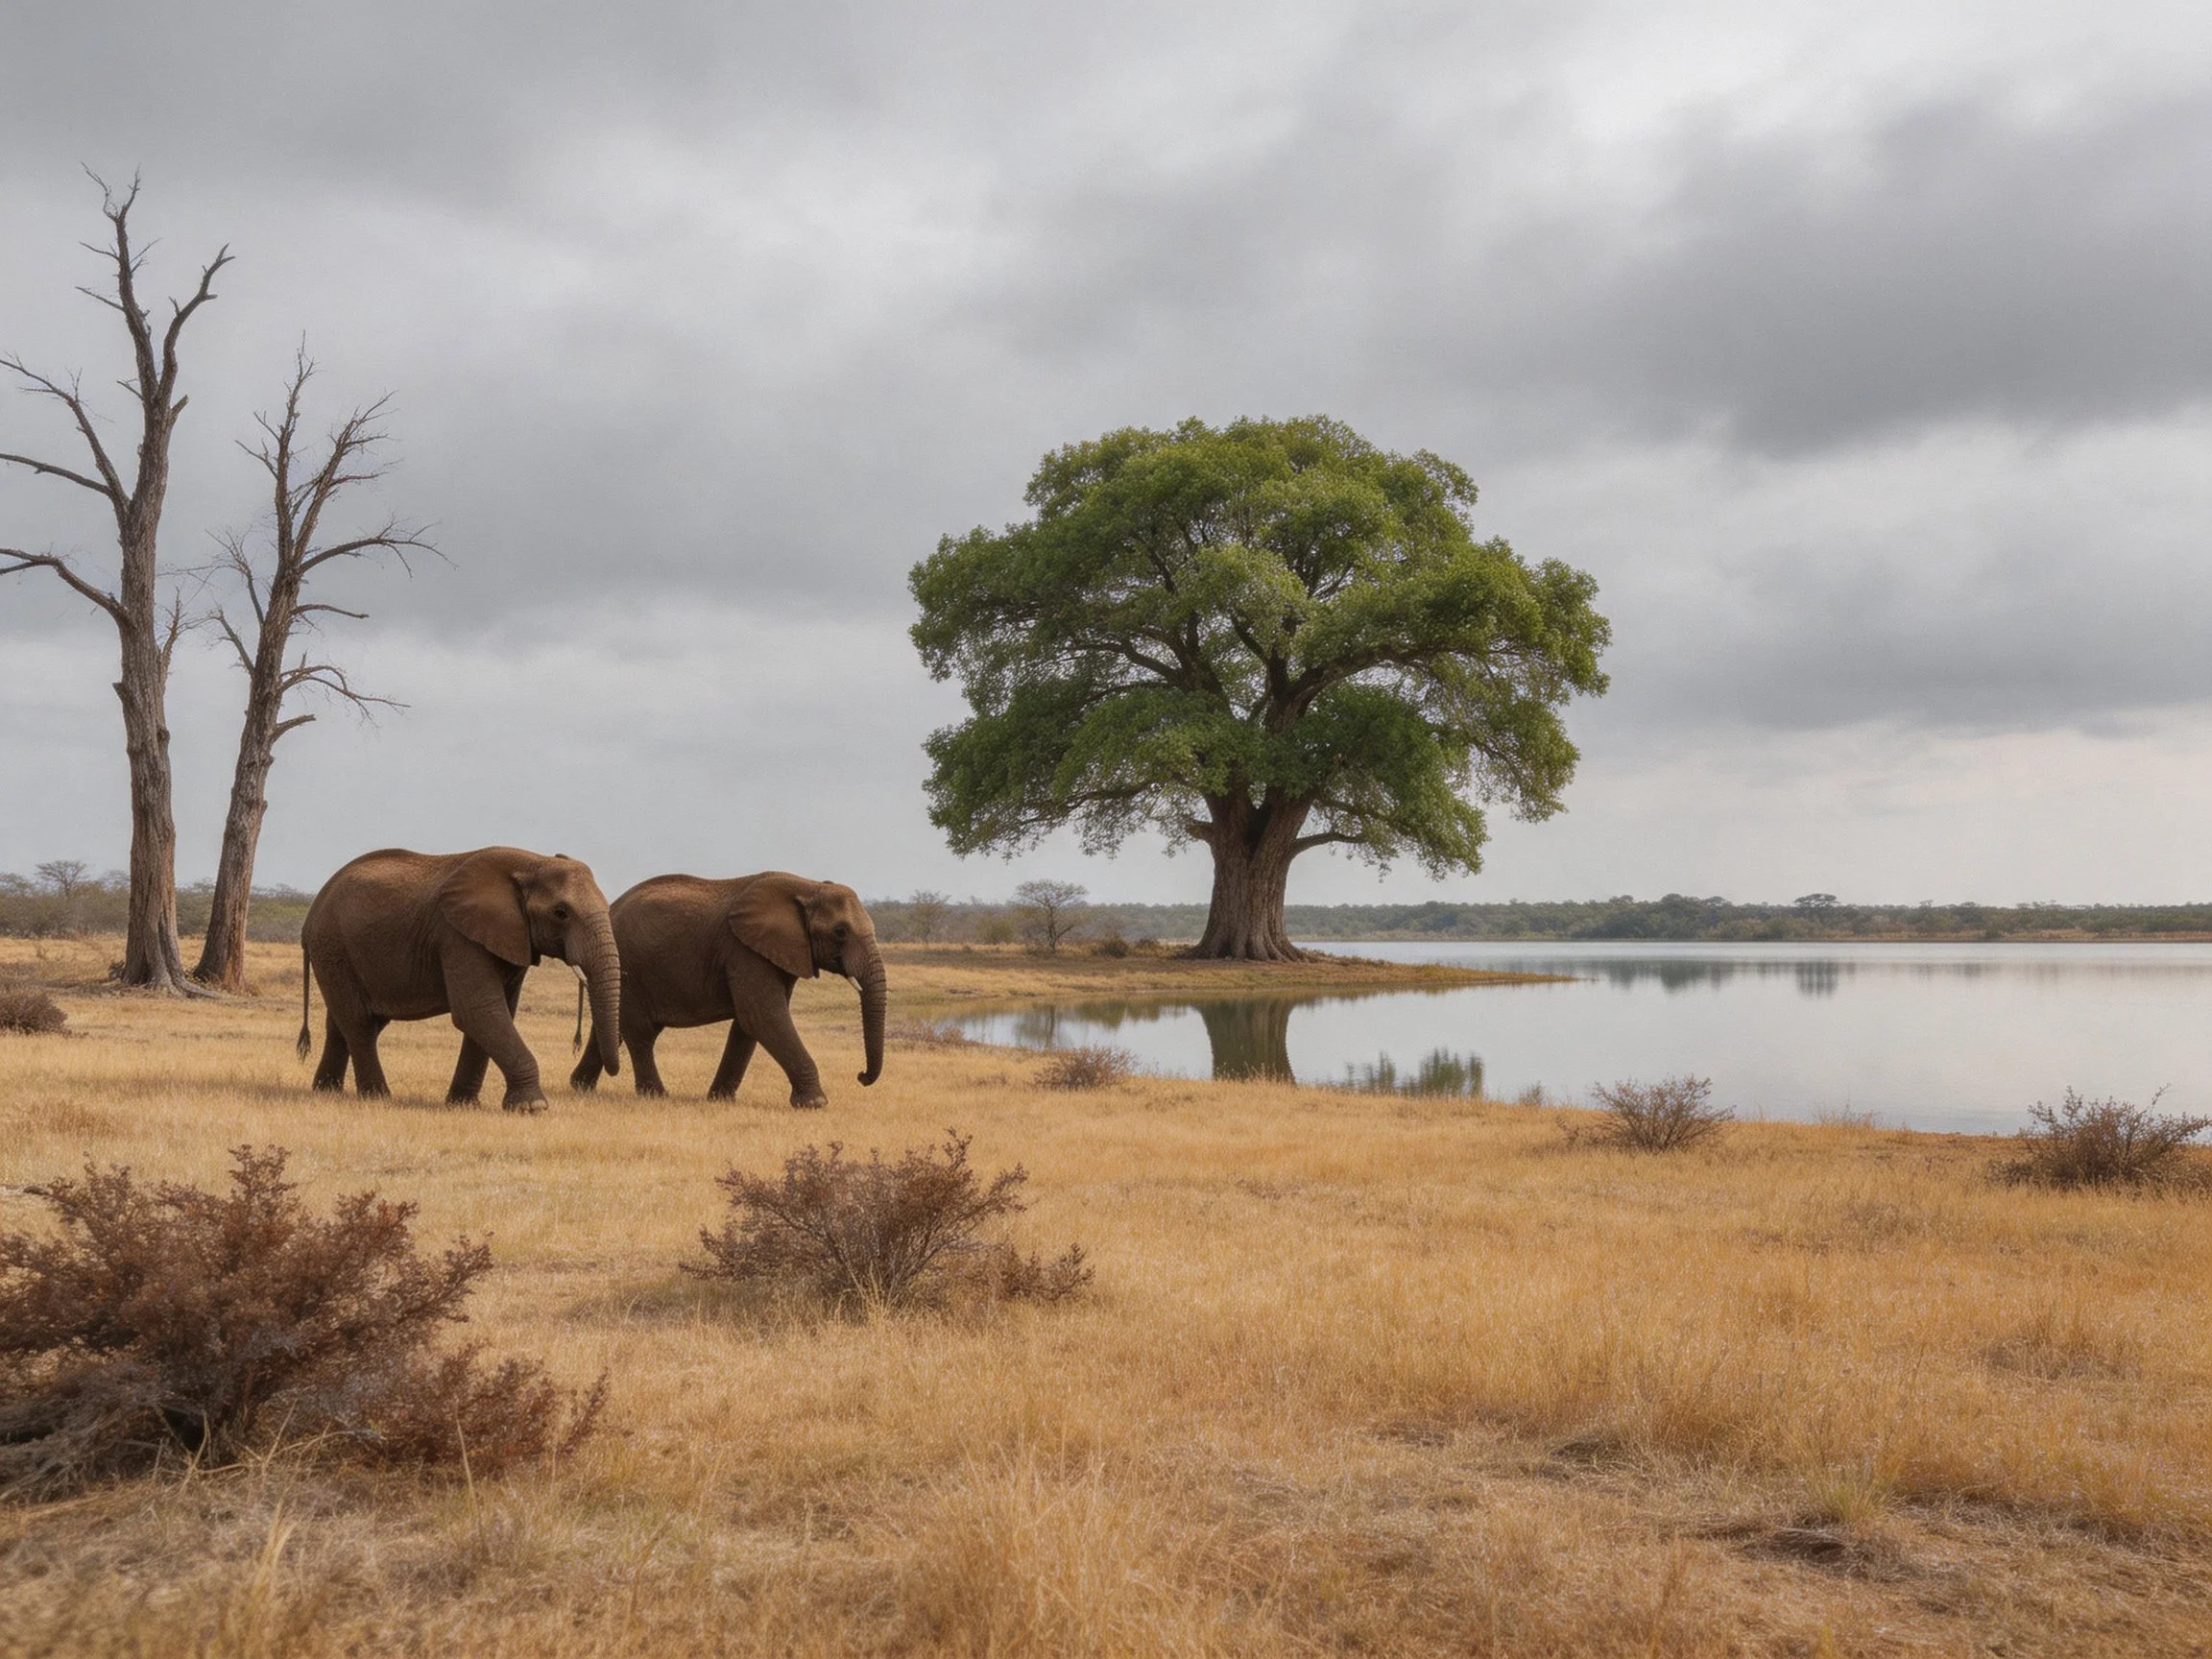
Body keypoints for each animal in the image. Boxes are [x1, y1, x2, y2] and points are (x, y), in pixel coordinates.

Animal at [298, 846, 622, 1111]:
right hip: (333, 946)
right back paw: (377, 1097)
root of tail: (312, 912)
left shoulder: (510, 939)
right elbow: (478, 1011)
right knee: (360, 1022)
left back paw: (327, 1091)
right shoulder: (458, 937)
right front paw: (533, 1107)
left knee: (343, 1022)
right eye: (560, 912)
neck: (531, 863)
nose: (614, 1070)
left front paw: (464, 1105)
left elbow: (495, 1013)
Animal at [568, 871, 884, 1108]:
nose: (861, 1075)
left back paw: (581, 1087)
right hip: (632, 967)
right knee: (641, 1033)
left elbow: (749, 1024)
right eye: (840, 932)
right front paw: (815, 1103)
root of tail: (610, 908)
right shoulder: (744, 951)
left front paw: (720, 1100)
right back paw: (656, 1096)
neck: (809, 886)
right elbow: (762, 1016)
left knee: (615, 1028)